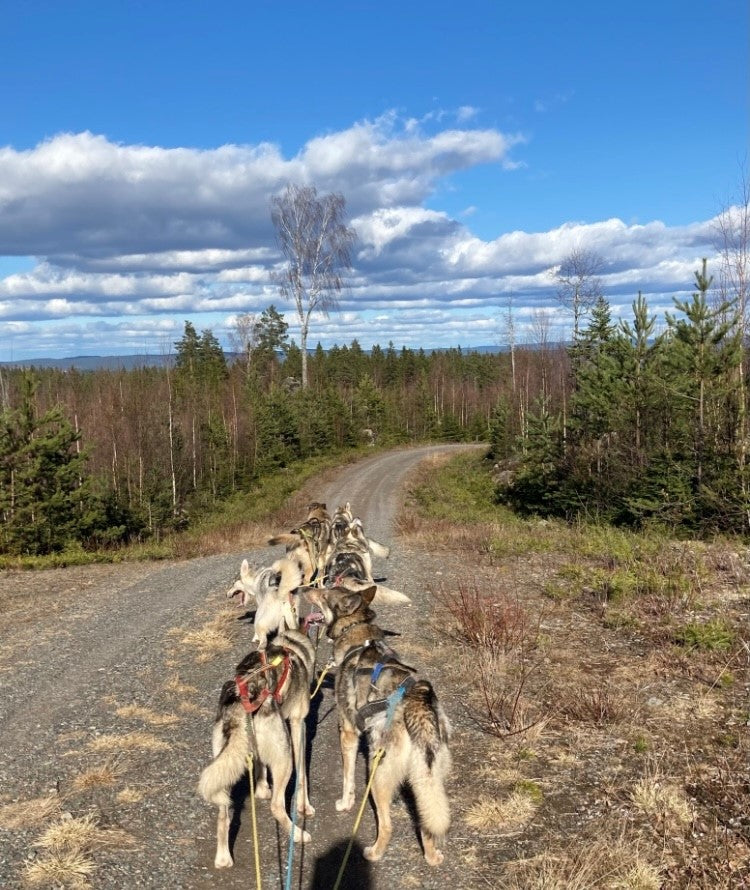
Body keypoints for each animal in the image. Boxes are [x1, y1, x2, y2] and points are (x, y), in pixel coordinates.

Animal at [198, 628, 316, 864]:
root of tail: (240, 702)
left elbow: (261, 767)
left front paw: (261, 789)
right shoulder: (298, 724)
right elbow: (303, 776)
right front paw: (304, 806)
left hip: (223, 765)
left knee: (223, 815)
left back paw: (223, 858)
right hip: (284, 758)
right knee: (277, 806)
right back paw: (298, 834)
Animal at [302, 584, 452, 860]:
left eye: (324, 593)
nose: (305, 588)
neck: (355, 631)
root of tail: (418, 705)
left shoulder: (348, 732)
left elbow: (347, 778)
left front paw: (345, 803)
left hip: (378, 774)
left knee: (387, 825)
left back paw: (374, 852)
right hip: (427, 778)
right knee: (427, 821)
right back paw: (431, 856)